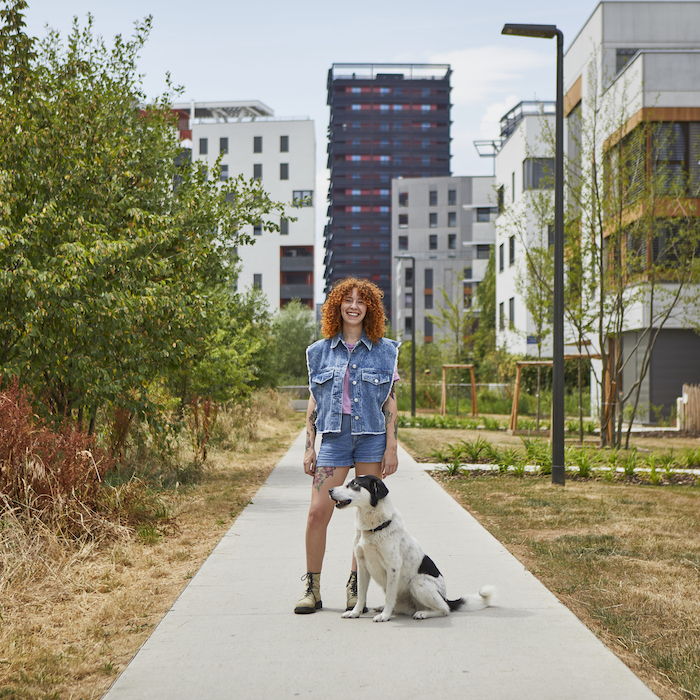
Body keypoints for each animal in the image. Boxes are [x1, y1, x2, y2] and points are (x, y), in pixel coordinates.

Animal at [330, 476, 494, 624]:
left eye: (354, 484)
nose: (329, 490)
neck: (374, 529)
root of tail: (446, 597)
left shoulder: (393, 567)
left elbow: (389, 596)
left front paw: (385, 616)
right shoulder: (362, 565)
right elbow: (362, 595)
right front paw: (355, 613)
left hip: (417, 582)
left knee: (444, 609)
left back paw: (422, 613)